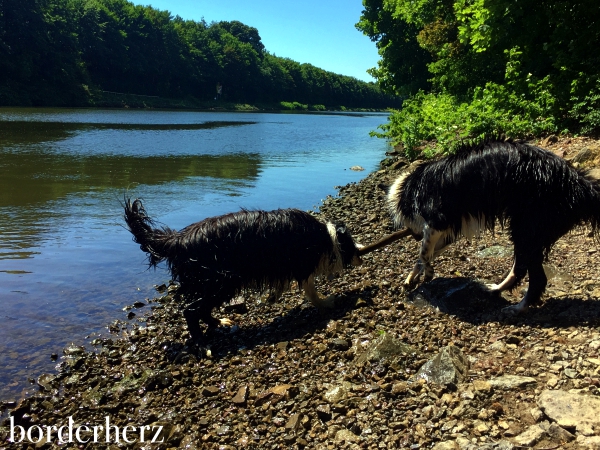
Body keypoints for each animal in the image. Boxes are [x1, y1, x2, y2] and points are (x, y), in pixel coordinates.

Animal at [122, 199, 360, 342]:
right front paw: (326, 303)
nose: (361, 255)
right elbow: (311, 290)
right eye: (352, 244)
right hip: (220, 282)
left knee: (201, 309)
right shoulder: (302, 266)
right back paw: (201, 342)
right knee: (191, 310)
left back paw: (218, 323)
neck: (326, 236)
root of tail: (176, 240)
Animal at [386, 139, 596, 314]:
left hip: (527, 229)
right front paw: (411, 278)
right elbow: (424, 255)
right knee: (521, 268)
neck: (412, 187)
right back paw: (497, 289)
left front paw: (427, 273)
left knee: (536, 278)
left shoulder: (437, 221)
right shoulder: (447, 233)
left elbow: (423, 253)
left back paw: (517, 307)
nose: (414, 236)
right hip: (528, 231)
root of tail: (578, 184)